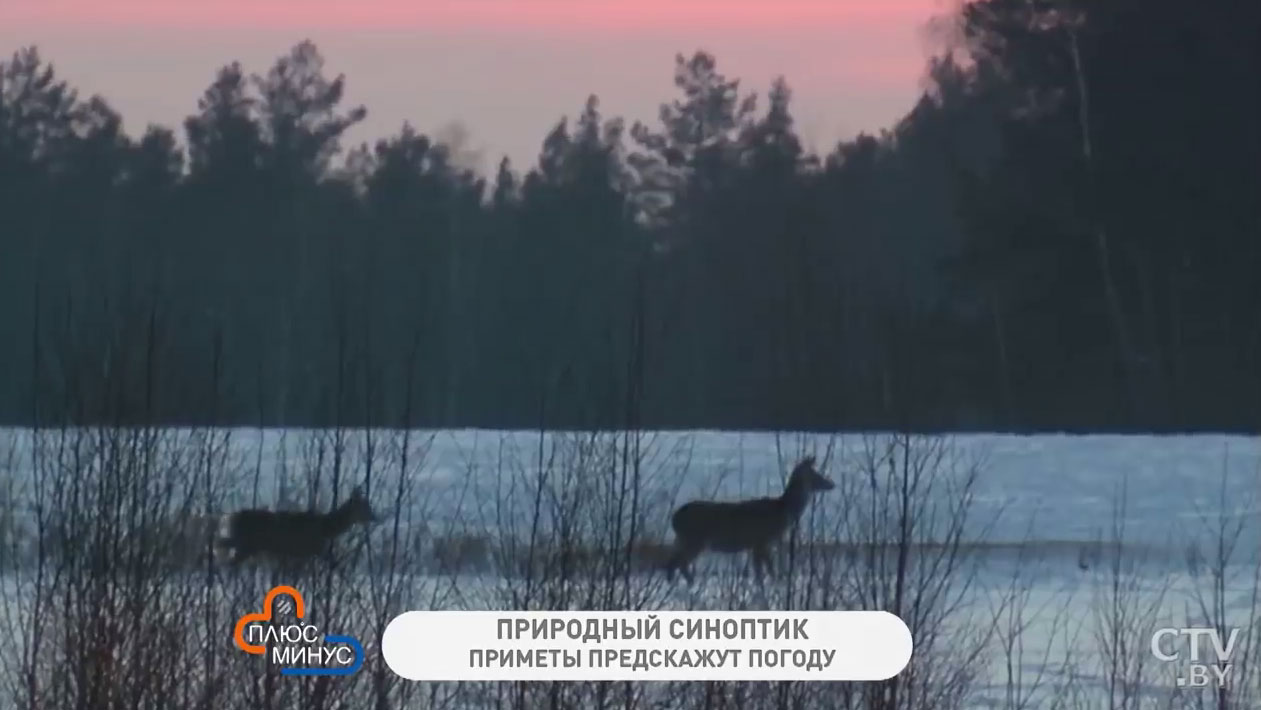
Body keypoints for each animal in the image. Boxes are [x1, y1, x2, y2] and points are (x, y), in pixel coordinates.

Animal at [214, 484, 378, 567]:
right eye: (364, 505)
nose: (374, 517)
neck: (325, 527)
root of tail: (233, 516)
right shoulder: (313, 549)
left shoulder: (301, 553)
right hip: (247, 544)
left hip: (246, 544)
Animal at [665, 459, 832, 585]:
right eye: (815, 474)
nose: (831, 484)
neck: (783, 510)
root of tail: (674, 518)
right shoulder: (762, 540)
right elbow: (767, 568)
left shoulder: (757, 544)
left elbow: (761, 570)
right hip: (694, 539)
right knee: (678, 562)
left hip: (685, 539)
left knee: (676, 561)